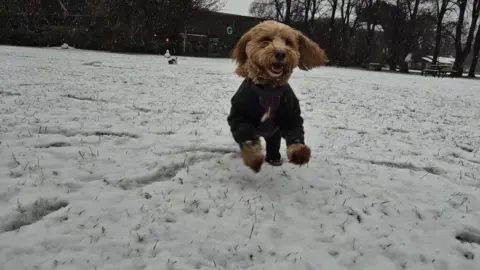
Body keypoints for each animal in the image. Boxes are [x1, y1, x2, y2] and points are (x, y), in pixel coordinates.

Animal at [228, 20, 326, 173]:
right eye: (266, 40)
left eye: (288, 42)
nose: (280, 53)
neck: (269, 89)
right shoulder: (239, 115)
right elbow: (247, 138)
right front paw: (254, 158)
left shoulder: (291, 113)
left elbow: (295, 132)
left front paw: (299, 153)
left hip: (274, 134)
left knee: (273, 144)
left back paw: (274, 159)